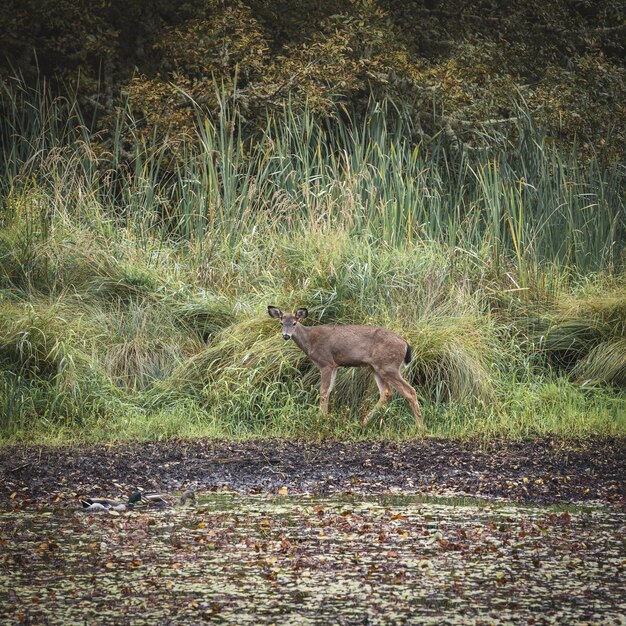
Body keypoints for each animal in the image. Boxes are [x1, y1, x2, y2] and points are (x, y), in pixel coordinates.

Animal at [266, 304, 422, 426]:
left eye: (294, 323)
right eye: (281, 323)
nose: (286, 336)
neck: (310, 341)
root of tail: (405, 344)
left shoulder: (325, 362)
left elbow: (323, 392)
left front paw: (321, 419)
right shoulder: (335, 365)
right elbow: (329, 391)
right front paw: (325, 417)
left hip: (389, 366)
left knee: (410, 391)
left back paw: (420, 427)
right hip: (376, 367)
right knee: (386, 393)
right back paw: (363, 422)